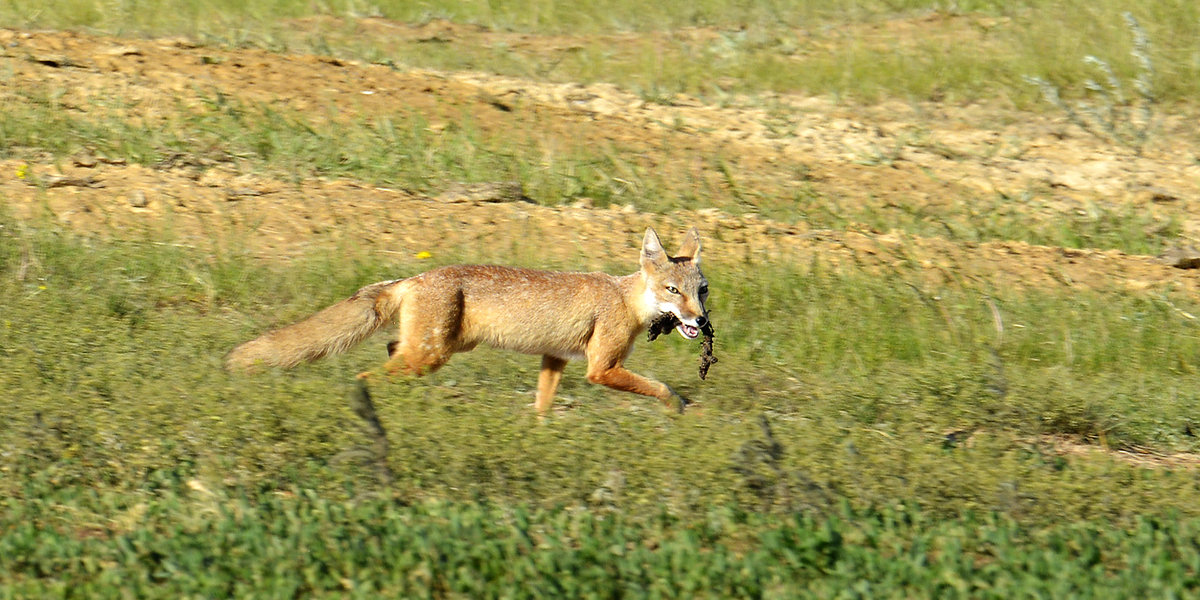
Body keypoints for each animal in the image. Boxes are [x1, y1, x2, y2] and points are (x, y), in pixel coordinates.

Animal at [226, 226, 700, 415]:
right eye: (673, 291)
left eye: (702, 290)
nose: (701, 320)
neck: (626, 299)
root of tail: (414, 277)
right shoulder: (602, 368)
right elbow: (660, 386)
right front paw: (678, 407)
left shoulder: (555, 359)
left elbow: (542, 406)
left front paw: (538, 435)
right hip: (431, 353)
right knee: (368, 374)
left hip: (433, 350)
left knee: (390, 352)